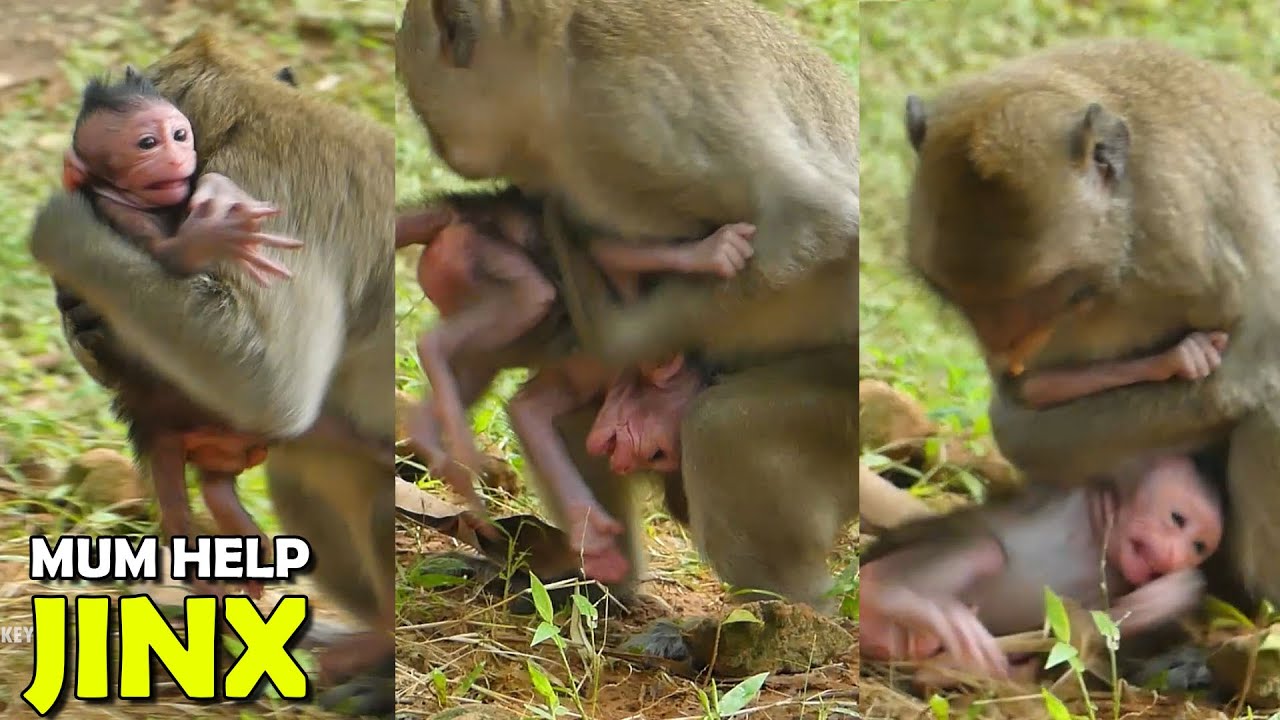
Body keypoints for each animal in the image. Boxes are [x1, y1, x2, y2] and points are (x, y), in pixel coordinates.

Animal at [30, 30, 395, 715]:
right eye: (148, 141)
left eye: (173, 135)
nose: (174, 156)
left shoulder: (252, 191)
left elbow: (272, 389)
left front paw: (59, 225)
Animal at [397, 188, 729, 582]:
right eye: (657, 453)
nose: (622, 462)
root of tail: (460, 208)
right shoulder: (603, 358)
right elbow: (603, 248)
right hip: (481, 252)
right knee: (531, 296)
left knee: (480, 364)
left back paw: (429, 435)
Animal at [859, 454, 1222, 679]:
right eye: (1177, 518)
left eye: (1198, 546)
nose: (1175, 557)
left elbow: (1093, 629)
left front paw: (1177, 589)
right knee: (985, 549)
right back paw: (885, 589)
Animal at [900, 38, 1280, 607]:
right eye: (958, 299)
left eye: (1047, 291)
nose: (1003, 349)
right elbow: (1030, 398)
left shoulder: (1201, 233)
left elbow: (1247, 379)